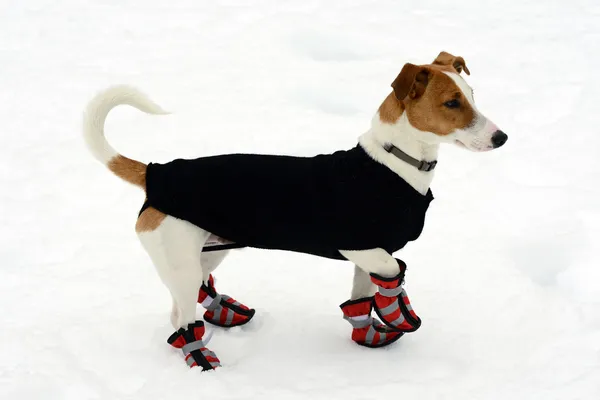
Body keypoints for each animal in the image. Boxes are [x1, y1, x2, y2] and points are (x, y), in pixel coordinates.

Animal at [83, 51, 506, 370]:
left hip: (208, 249)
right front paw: (398, 310)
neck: (393, 164)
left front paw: (368, 331)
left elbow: (362, 295)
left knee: (187, 298)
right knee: (182, 318)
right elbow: (392, 272)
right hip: (181, 258)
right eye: (451, 103)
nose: (501, 137)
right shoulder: (363, 248)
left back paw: (221, 313)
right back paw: (200, 356)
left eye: (472, 95)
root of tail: (156, 172)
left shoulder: (367, 255)